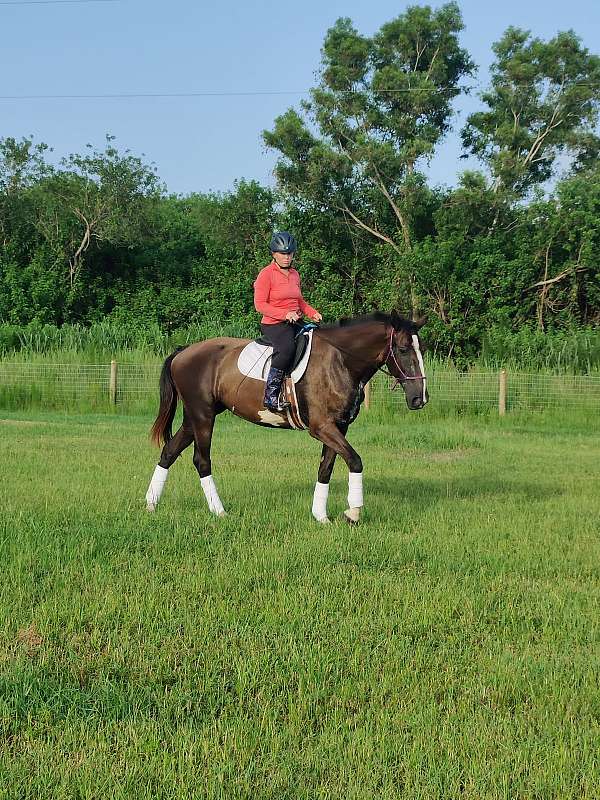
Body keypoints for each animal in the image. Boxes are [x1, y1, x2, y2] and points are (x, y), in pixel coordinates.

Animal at [145, 312, 426, 524]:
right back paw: (219, 511)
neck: (340, 361)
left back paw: (150, 503)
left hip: (195, 418)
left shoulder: (339, 427)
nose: (419, 399)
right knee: (201, 460)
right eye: (402, 349)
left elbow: (326, 468)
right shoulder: (321, 427)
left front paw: (320, 516)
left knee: (169, 452)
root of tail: (183, 352)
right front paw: (353, 512)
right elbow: (355, 461)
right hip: (203, 417)